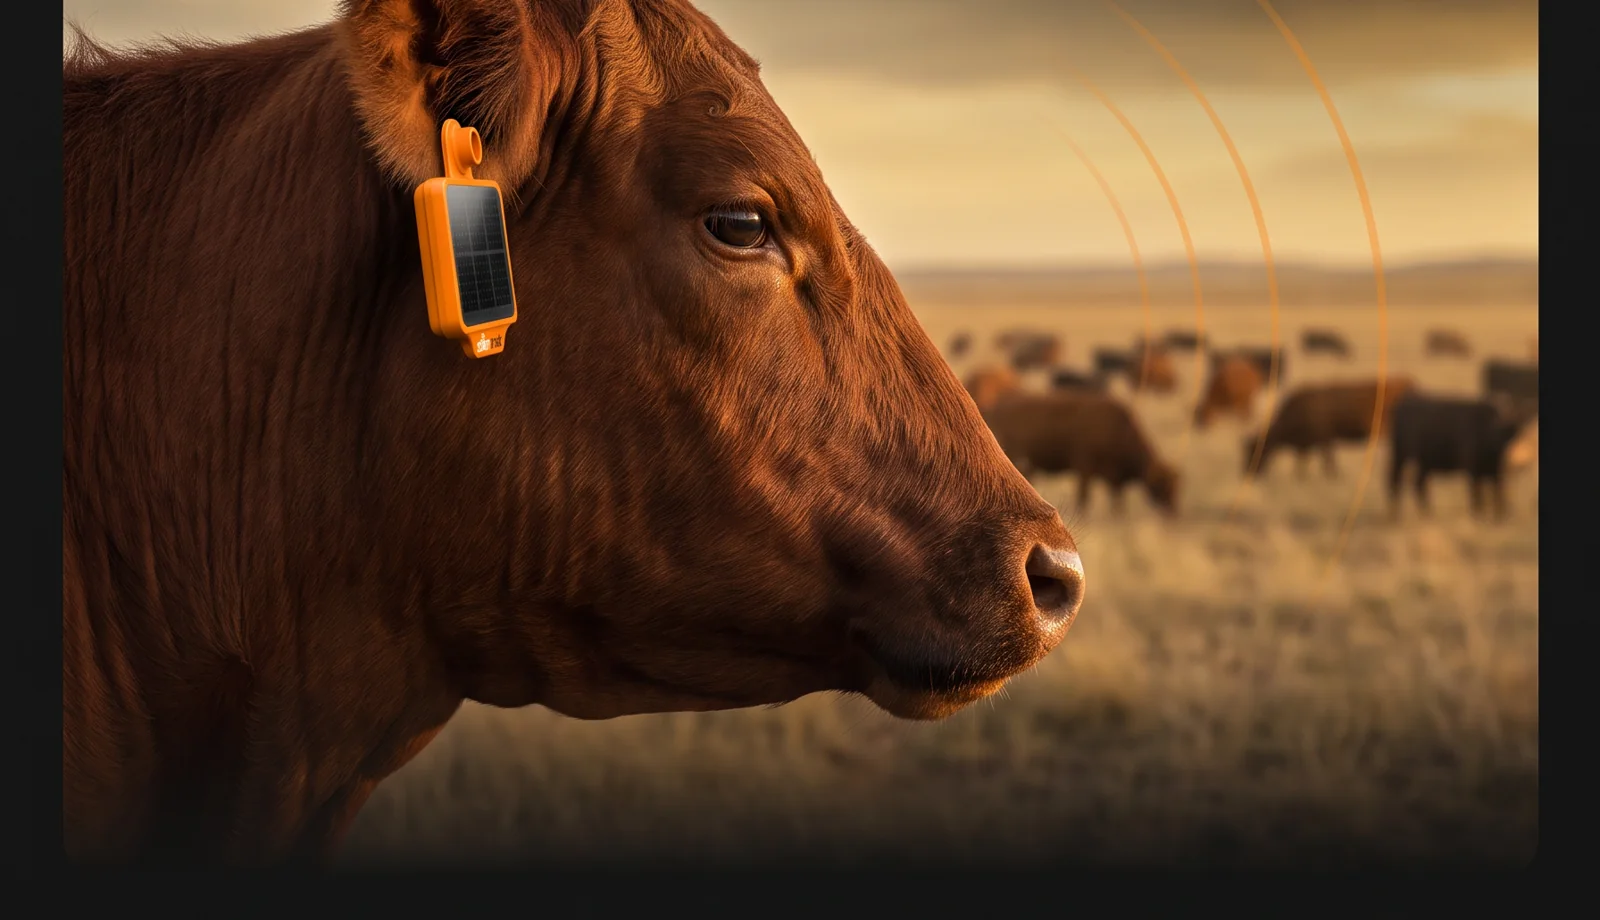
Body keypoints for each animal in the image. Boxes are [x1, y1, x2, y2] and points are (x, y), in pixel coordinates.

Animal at [980, 393, 1180, 517]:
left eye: (1176, 486)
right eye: (1163, 484)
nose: (1172, 512)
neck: (1119, 429)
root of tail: (993, 409)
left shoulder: (1113, 480)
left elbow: (1117, 503)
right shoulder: (1085, 469)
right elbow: (1084, 498)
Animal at [1242, 377, 1417, 480]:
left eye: (1255, 450)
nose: (1247, 473)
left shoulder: (1325, 439)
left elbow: (1327, 460)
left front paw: (1332, 476)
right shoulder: (1306, 444)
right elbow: (1303, 462)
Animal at [1387, 394, 1536, 520]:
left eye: (1520, 426)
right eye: (1510, 426)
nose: (1515, 448)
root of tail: (1405, 403)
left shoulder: (1495, 472)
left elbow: (1497, 492)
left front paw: (1499, 516)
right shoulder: (1473, 469)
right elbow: (1477, 492)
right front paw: (1478, 515)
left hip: (1424, 462)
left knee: (1418, 483)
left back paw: (1426, 512)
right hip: (1401, 455)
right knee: (1396, 478)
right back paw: (1396, 514)